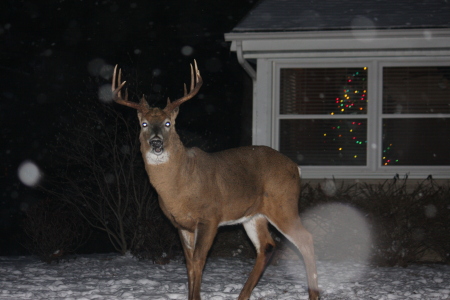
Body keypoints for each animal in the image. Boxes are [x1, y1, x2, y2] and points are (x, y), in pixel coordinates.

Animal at [112, 59, 320, 298]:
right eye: (144, 124)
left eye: (168, 124)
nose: (156, 143)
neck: (179, 187)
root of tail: (296, 167)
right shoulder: (181, 224)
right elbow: (189, 264)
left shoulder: (210, 216)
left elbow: (199, 261)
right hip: (253, 214)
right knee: (267, 246)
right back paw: (242, 295)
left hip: (283, 204)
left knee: (305, 238)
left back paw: (313, 294)